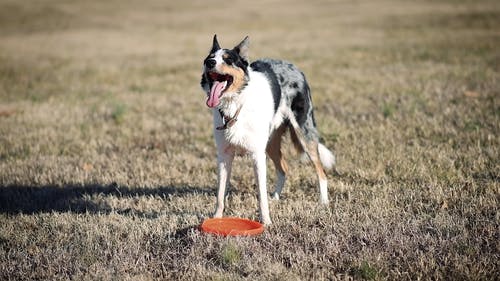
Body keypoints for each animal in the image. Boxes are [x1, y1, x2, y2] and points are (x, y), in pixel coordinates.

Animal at [200, 35, 336, 224]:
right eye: (209, 57)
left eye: (228, 60)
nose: (210, 62)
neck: (236, 105)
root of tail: (294, 67)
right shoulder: (224, 156)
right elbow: (220, 194)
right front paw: (216, 219)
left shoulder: (257, 155)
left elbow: (260, 194)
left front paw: (266, 222)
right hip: (271, 143)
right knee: (284, 169)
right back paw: (276, 198)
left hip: (304, 133)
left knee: (320, 171)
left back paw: (323, 202)